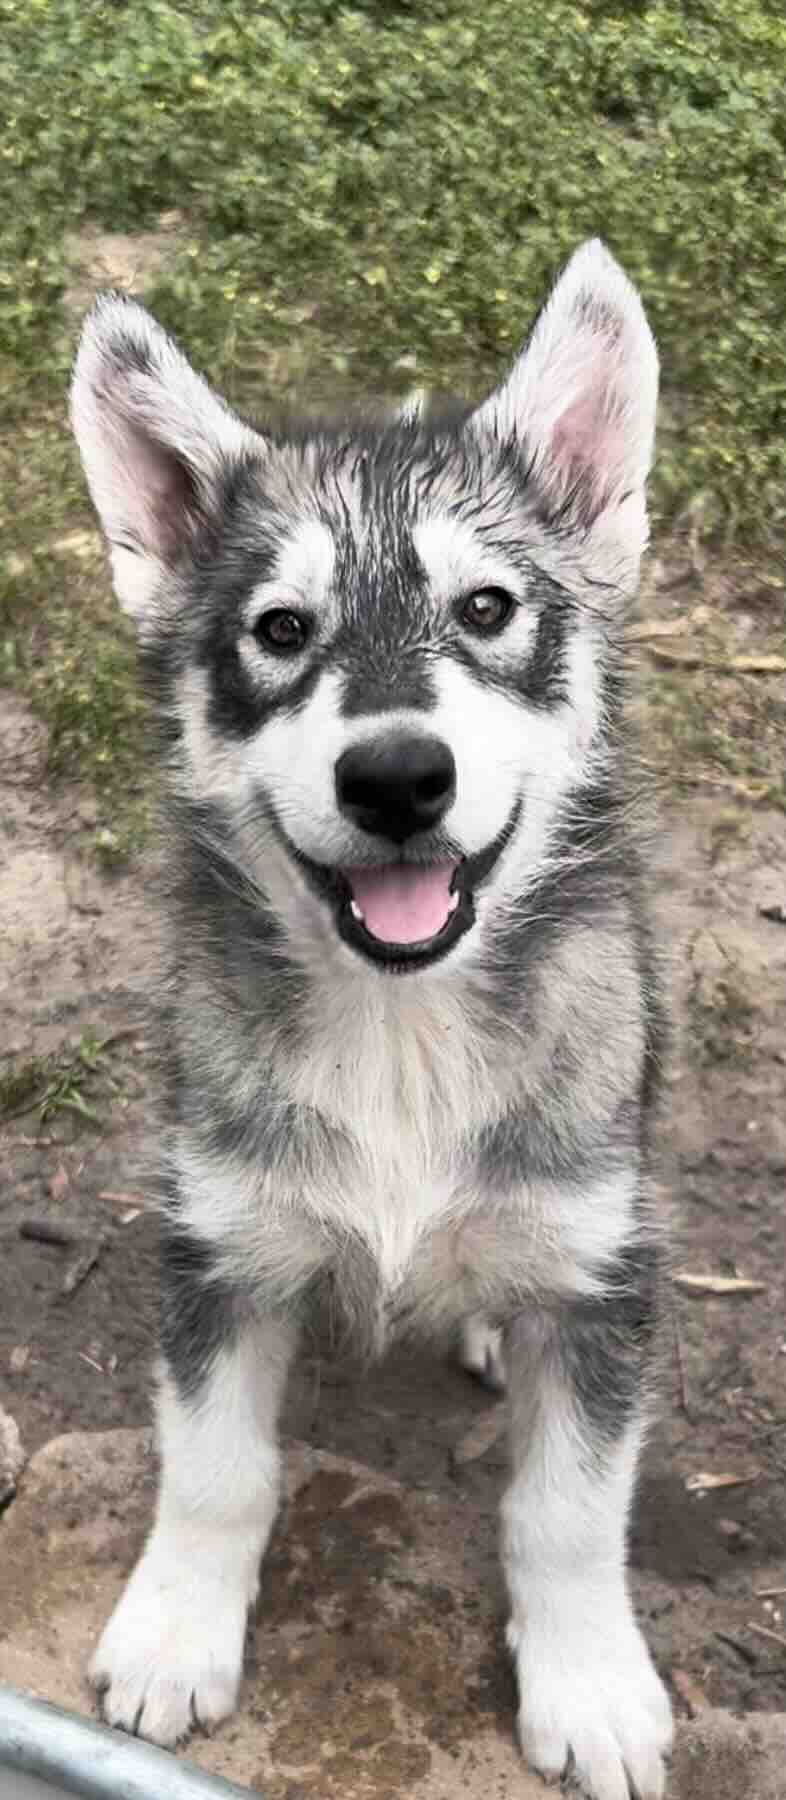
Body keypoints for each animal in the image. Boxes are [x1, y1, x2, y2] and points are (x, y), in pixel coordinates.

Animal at [71, 243, 669, 1800]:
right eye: (279, 632)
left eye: (488, 610)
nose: (398, 776)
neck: (404, 1036)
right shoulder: (217, 1242)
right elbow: (214, 1466)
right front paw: (175, 1631)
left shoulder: (607, 1273)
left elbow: (571, 1507)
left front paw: (592, 1685)